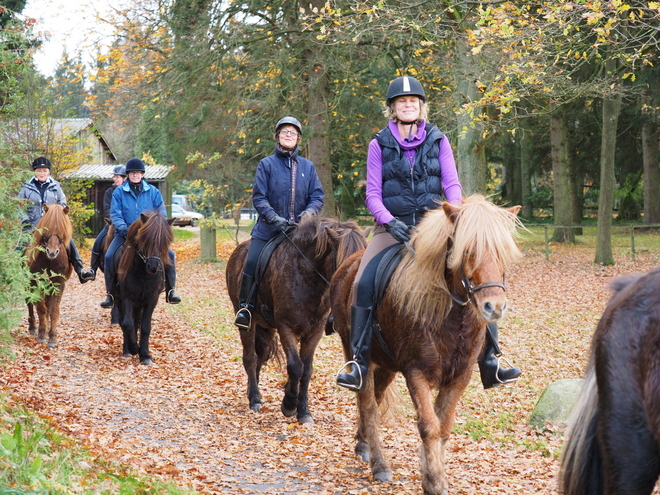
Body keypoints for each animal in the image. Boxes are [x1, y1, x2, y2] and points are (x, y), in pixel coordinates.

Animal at [25, 202, 73, 348]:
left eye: (61, 230)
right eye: (46, 230)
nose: (52, 252)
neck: (49, 260)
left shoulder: (58, 283)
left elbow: (53, 309)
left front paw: (52, 337)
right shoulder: (36, 282)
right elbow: (41, 308)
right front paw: (41, 334)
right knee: (30, 303)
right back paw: (33, 327)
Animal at [113, 211, 175, 366]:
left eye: (165, 241)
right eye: (145, 239)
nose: (153, 267)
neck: (143, 273)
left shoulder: (151, 299)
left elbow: (145, 326)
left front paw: (145, 355)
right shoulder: (126, 297)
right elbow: (127, 324)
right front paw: (134, 348)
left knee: (138, 323)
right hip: (119, 299)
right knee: (126, 322)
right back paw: (127, 350)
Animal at [227, 218, 366, 426]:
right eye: (346, 262)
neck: (306, 274)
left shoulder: (315, 331)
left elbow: (306, 370)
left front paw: (303, 411)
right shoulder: (286, 327)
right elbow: (295, 366)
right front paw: (289, 404)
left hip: (265, 326)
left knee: (259, 357)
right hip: (246, 321)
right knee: (250, 357)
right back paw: (255, 399)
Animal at [328, 196, 524, 494]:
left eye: (502, 251)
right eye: (468, 250)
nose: (494, 306)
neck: (452, 316)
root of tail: (348, 264)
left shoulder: (460, 376)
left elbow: (443, 427)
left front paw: (433, 474)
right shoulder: (416, 372)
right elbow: (429, 426)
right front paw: (433, 481)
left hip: (386, 364)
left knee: (376, 398)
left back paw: (363, 445)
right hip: (358, 355)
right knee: (368, 405)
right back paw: (379, 465)